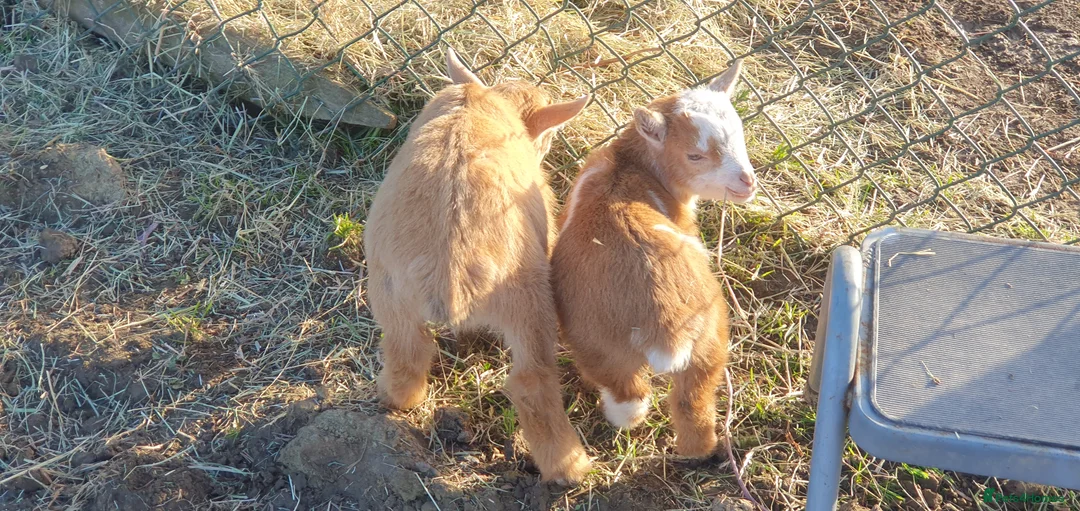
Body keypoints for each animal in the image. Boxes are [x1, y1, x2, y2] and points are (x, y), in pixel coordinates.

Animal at [363, 49, 592, 483]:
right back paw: (572, 468)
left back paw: (392, 398)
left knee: (409, 351)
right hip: (529, 302)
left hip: (390, 292)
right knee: (531, 382)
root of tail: (450, 274)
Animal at [551, 60, 756, 457]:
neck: (627, 165)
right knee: (685, 402)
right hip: (704, 339)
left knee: (636, 399)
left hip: (602, 343)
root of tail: (665, 324)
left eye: (740, 134)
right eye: (694, 155)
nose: (747, 182)